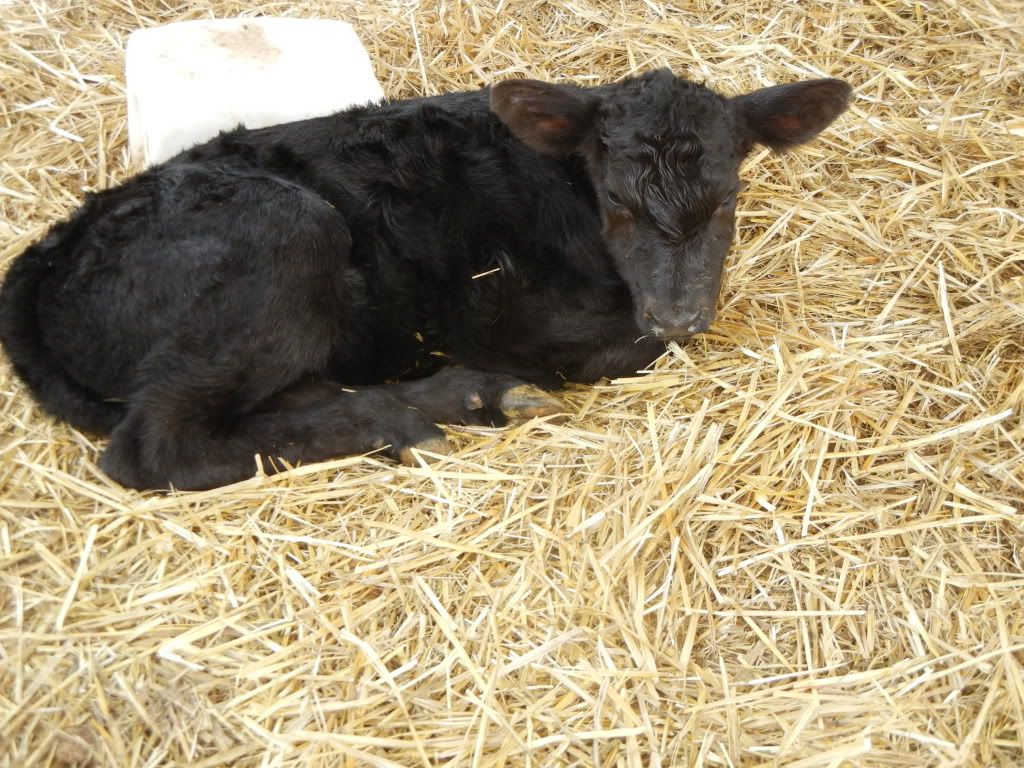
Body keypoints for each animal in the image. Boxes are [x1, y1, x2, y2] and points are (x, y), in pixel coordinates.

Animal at [0, 68, 851, 490]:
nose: (680, 313)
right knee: (157, 448)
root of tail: (48, 254)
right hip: (283, 236)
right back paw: (410, 416)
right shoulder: (505, 314)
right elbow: (613, 347)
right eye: (616, 199)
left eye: (729, 196)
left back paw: (465, 398)